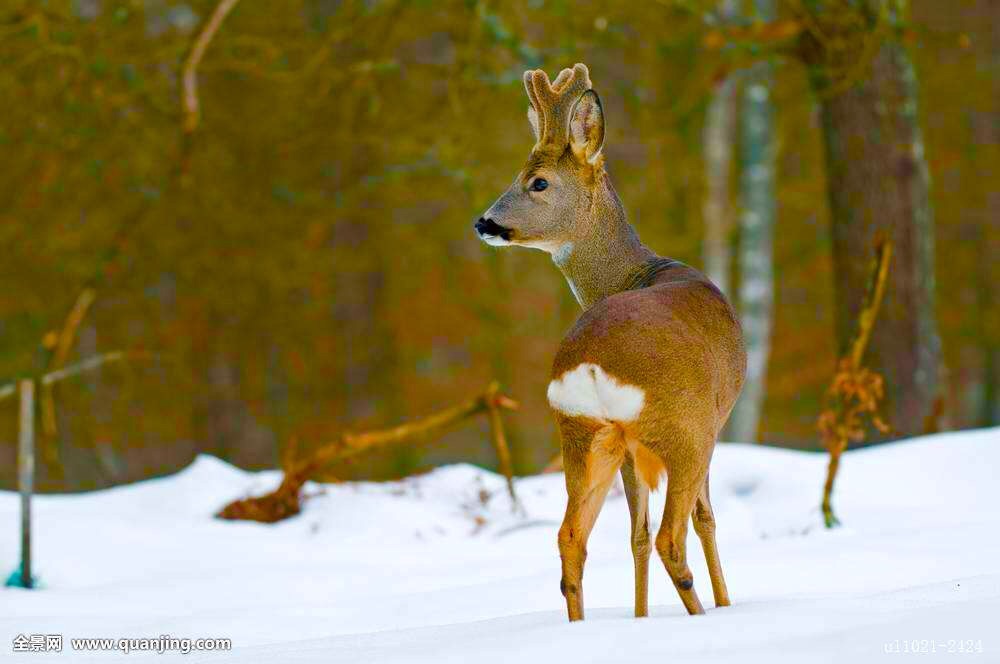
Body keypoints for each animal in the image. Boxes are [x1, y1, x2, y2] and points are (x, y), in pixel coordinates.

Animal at [472, 63, 748, 624]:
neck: (636, 271)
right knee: (671, 537)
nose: (483, 222)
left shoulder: (628, 449)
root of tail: (592, 363)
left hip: (585, 433)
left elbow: (633, 533)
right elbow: (705, 520)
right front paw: (727, 603)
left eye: (537, 181)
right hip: (681, 429)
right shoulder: (713, 423)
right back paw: (701, 613)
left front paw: (641, 617)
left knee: (572, 537)